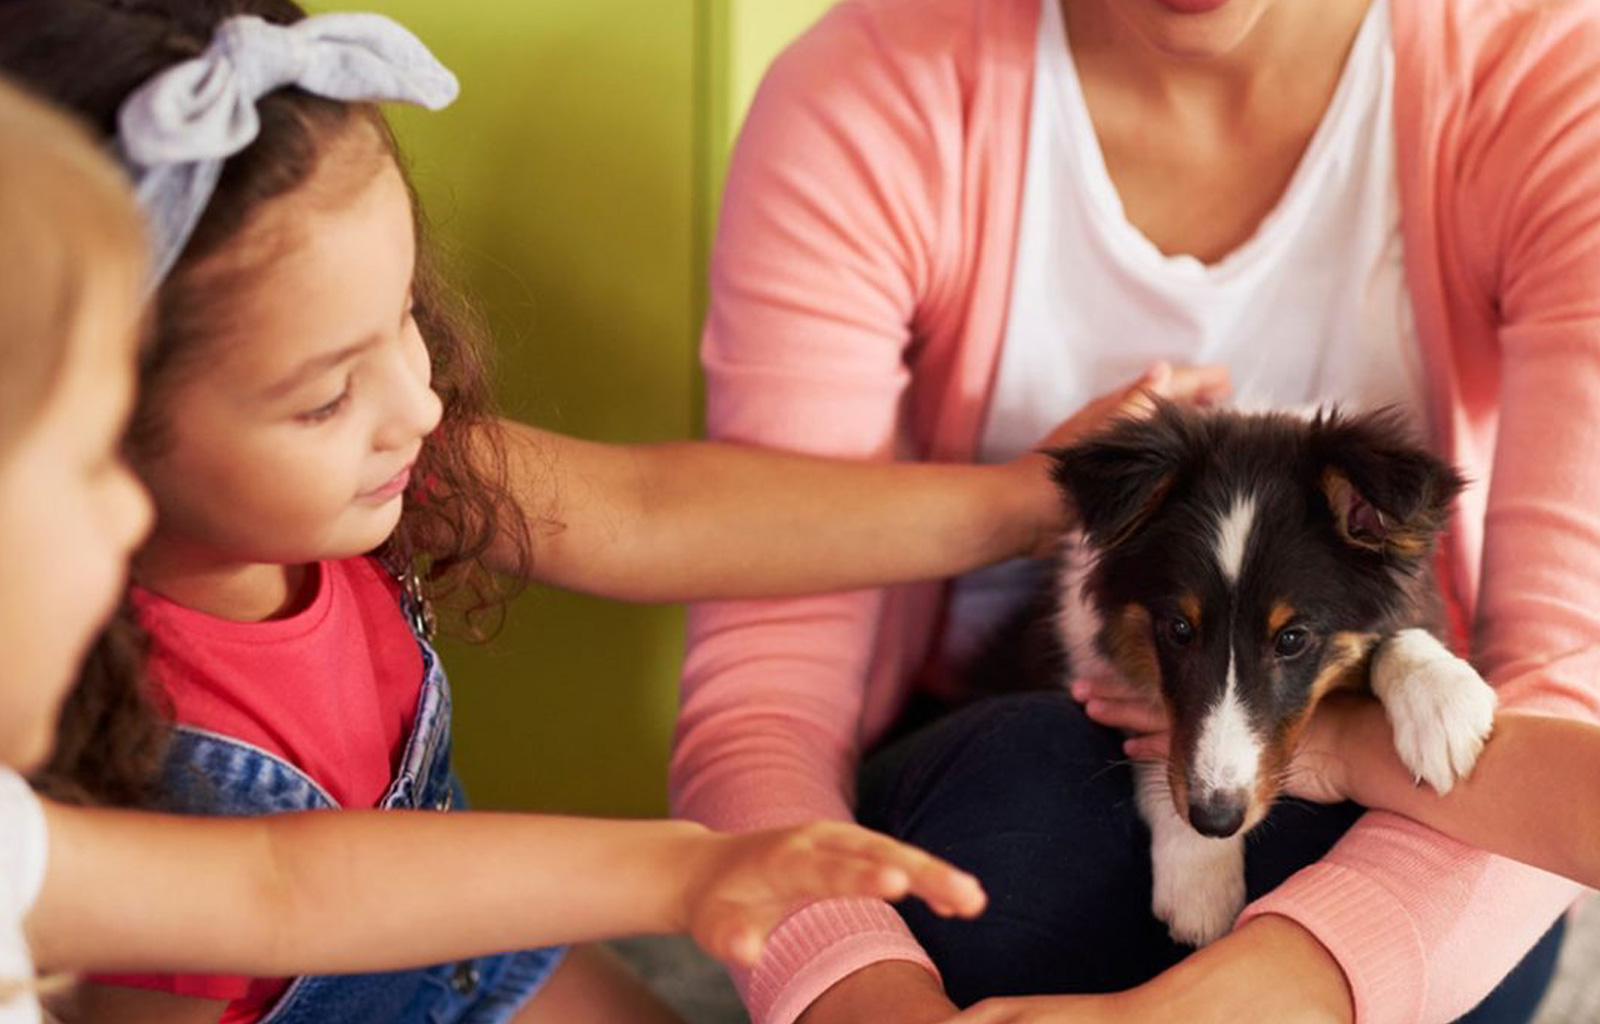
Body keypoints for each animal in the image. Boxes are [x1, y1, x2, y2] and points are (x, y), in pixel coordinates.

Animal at [1011, 403, 1497, 947]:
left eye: (1292, 639)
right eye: (1178, 628)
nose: (1215, 819)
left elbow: (1400, 638)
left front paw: (1441, 702)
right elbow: (1156, 748)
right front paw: (1200, 875)